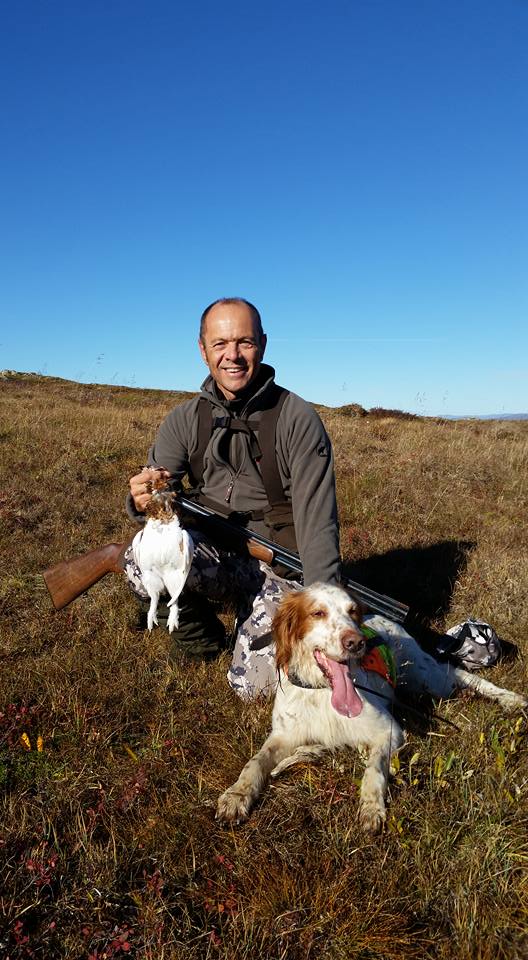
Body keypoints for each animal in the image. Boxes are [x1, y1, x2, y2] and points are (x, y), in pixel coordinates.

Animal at [216, 580, 528, 828]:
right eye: (318, 613)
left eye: (352, 611)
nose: (356, 642)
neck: (322, 692)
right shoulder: (284, 735)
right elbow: (255, 762)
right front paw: (236, 795)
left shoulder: (387, 730)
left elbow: (375, 769)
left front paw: (371, 808)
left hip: (427, 678)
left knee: (458, 674)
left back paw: (510, 699)